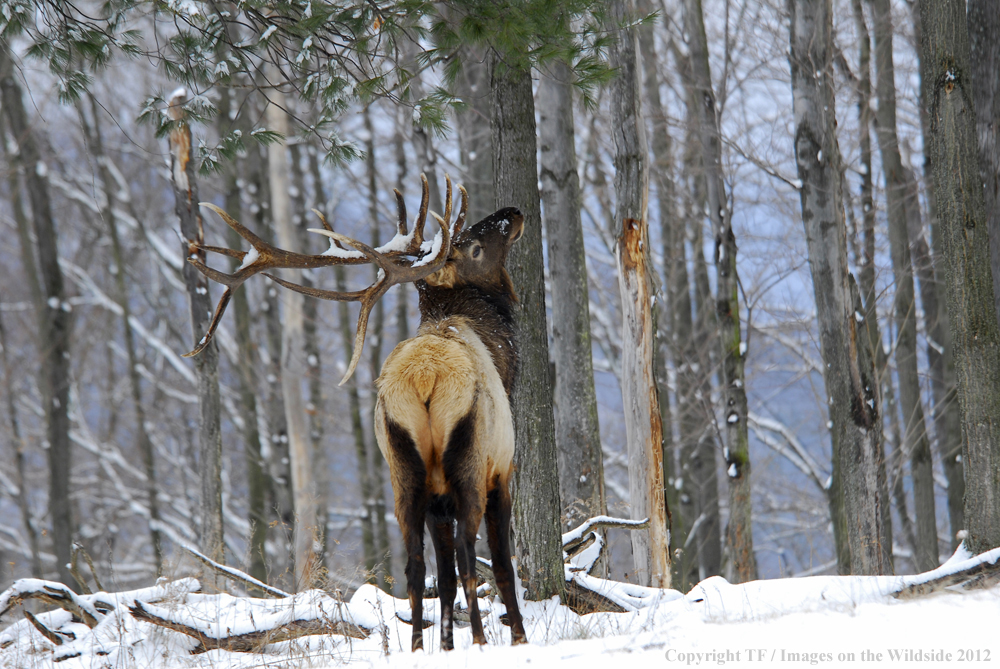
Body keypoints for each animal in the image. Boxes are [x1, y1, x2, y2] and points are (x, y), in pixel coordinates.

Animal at [188, 175, 532, 648]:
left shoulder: (437, 496)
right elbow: (499, 566)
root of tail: (425, 379)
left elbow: (440, 576)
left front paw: (446, 645)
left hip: (403, 469)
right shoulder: (502, 467)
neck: (503, 357)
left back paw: (420, 646)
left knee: (415, 566)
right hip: (468, 458)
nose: (512, 212)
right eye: (474, 247)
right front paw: (518, 636)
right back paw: (478, 640)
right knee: (465, 557)